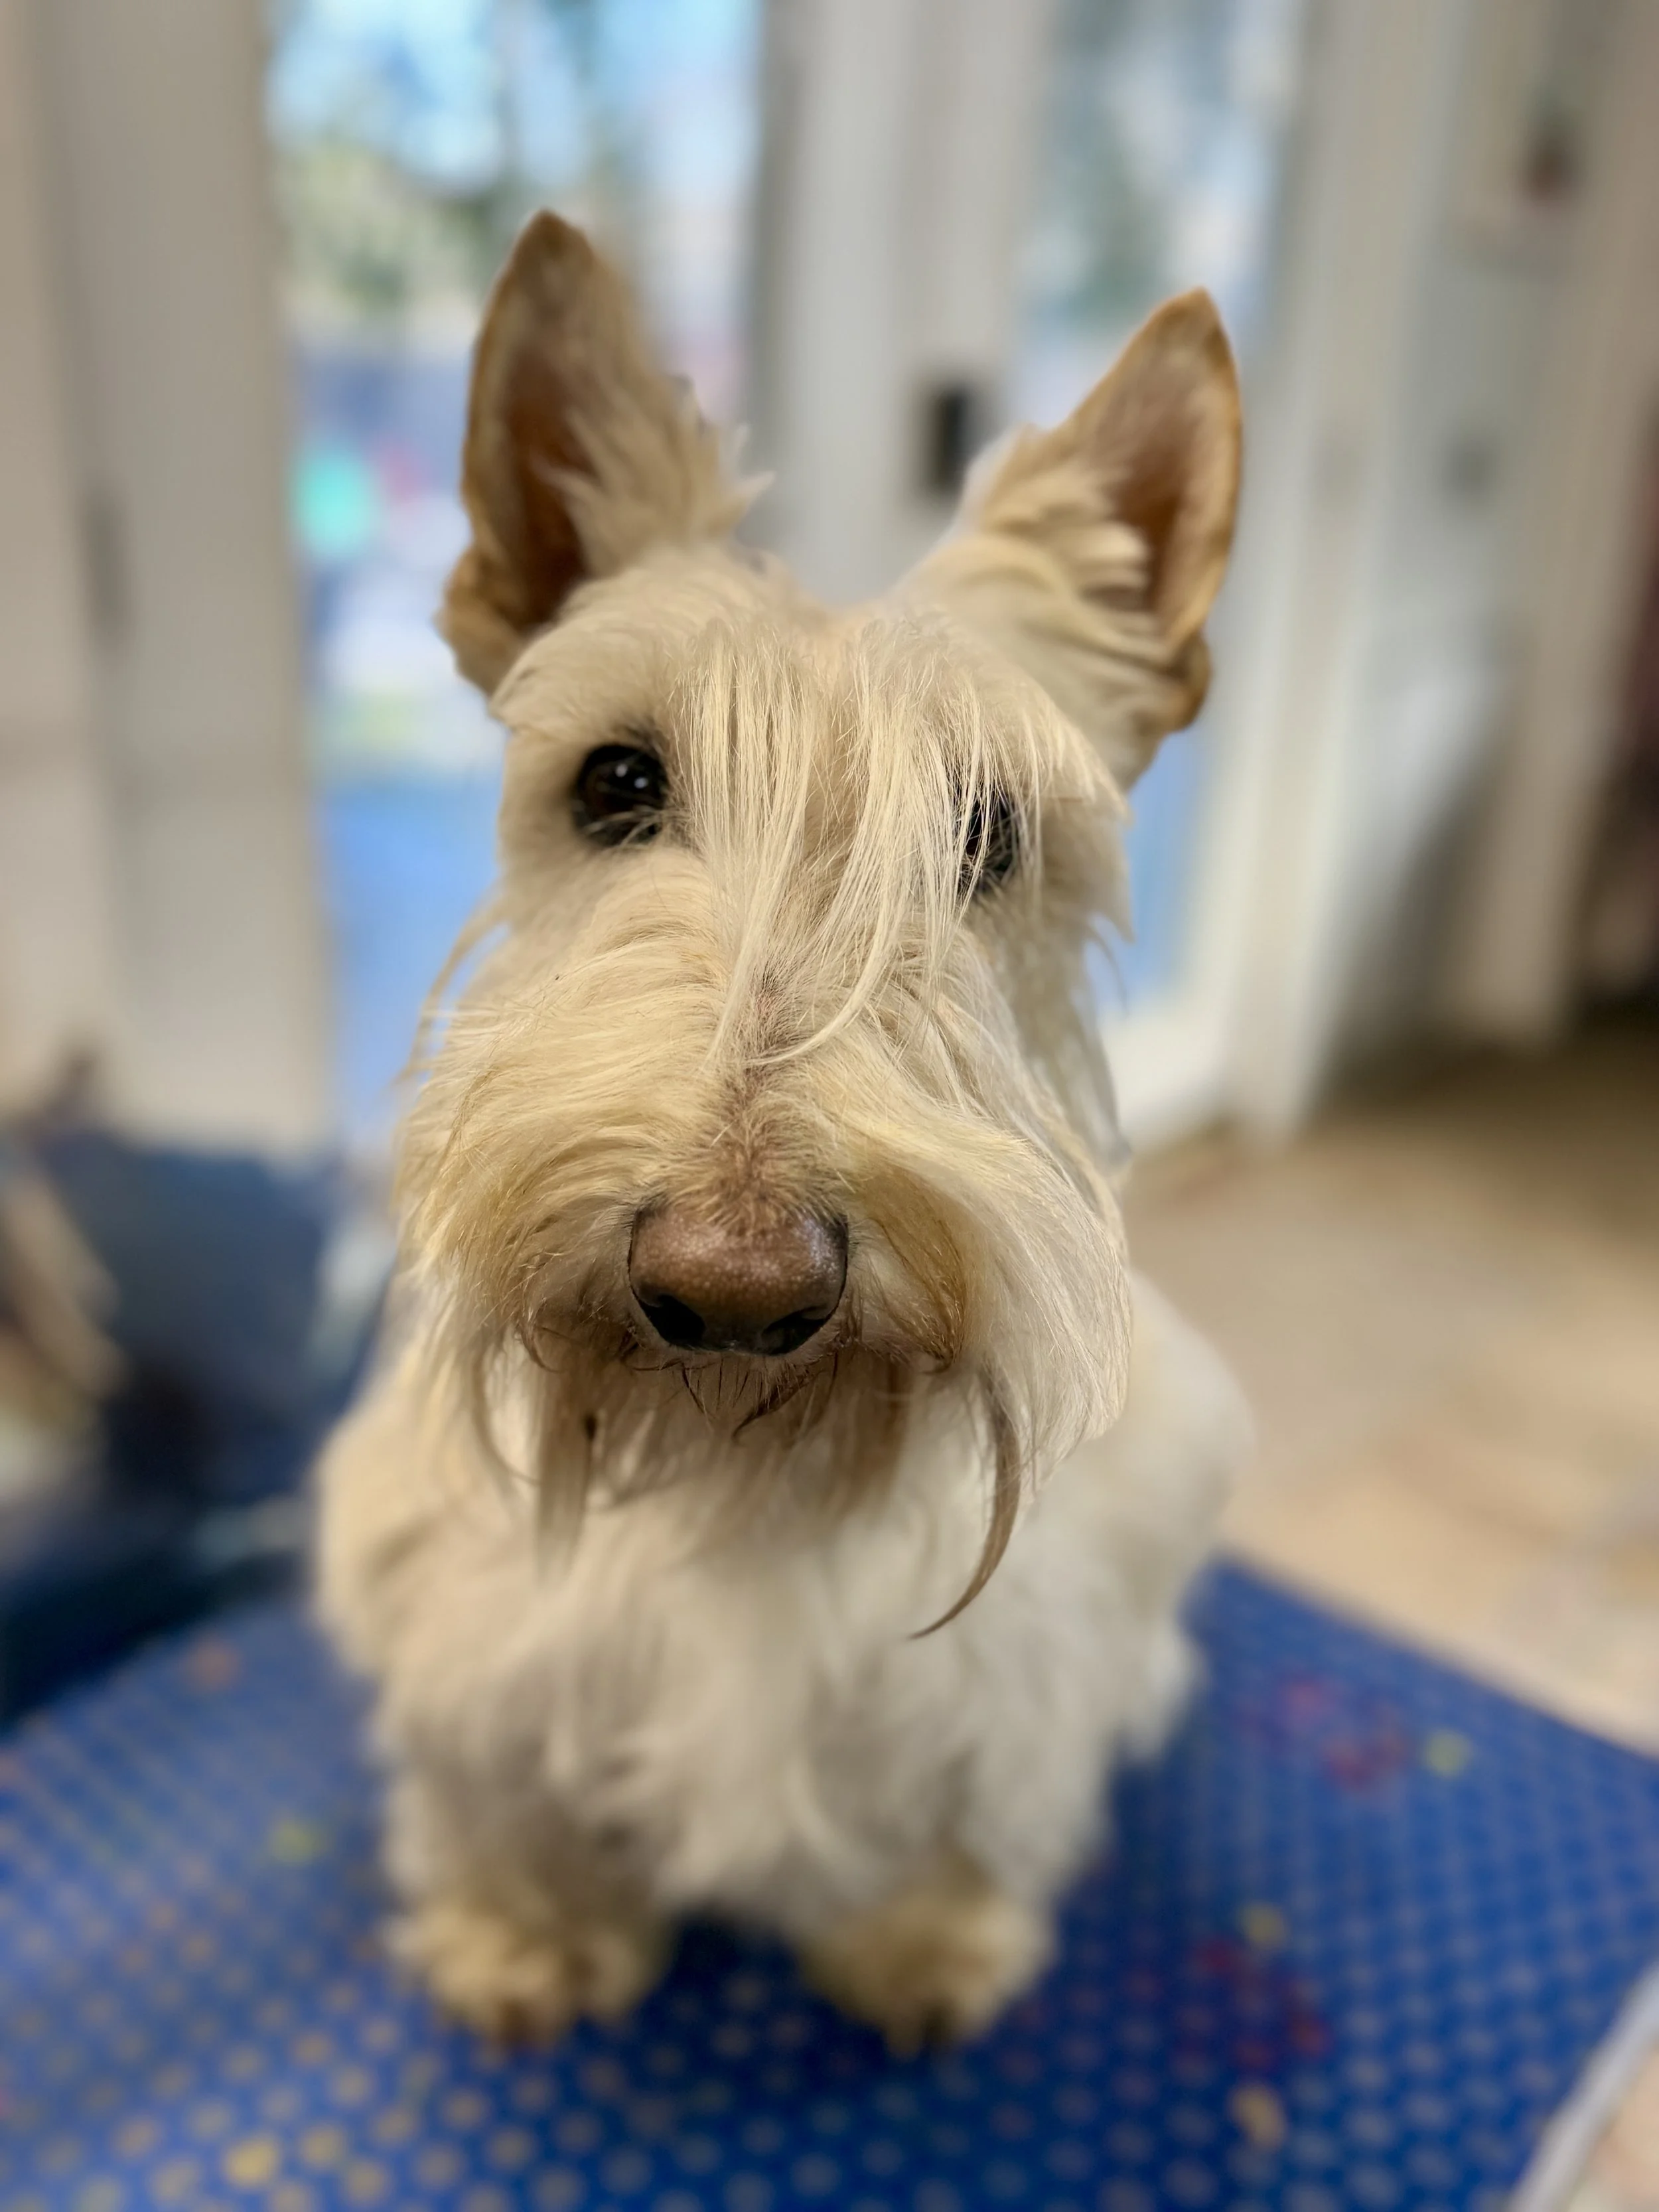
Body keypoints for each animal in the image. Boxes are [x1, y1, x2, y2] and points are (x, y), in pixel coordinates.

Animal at [317, 211, 1249, 2052]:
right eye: (614, 782)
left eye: (988, 833)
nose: (733, 1290)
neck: (737, 1474)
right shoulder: (460, 1622)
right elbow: (493, 1789)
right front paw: (525, 1934)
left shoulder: (1024, 1665)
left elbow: (972, 1797)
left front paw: (924, 1942)